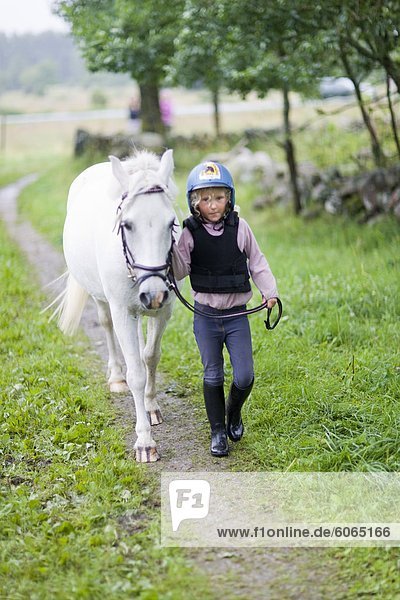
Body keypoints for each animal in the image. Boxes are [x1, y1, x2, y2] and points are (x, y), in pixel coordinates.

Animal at [55, 148, 180, 462]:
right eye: (127, 225)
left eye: (171, 223)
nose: (153, 293)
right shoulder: (123, 311)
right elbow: (135, 373)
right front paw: (145, 442)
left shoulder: (163, 311)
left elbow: (150, 357)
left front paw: (151, 407)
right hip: (102, 300)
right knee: (107, 326)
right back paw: (115, 378)